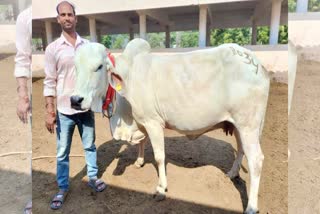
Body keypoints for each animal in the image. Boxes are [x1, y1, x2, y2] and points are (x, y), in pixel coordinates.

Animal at [72, 38, 270, 214]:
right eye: (75, 67)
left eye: (99, 66)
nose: (75, 100)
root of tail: (259, 67)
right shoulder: (142, 121)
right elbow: (142, 143)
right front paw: (139, 161)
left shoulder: (153, 122)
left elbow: (159, 157)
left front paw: (161, 188)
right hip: (238, 125)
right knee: (242, 150)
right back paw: (232, 173)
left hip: (248, 125)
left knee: (256, 160)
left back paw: (251, 207)